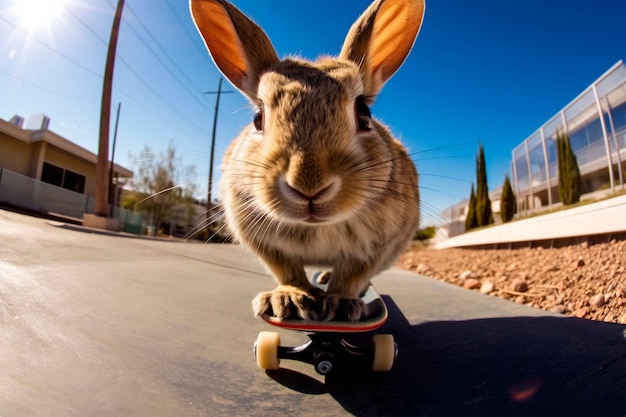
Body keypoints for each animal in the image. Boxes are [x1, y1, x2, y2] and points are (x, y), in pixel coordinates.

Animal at [190, 0, 424, 322]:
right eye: (258, 117)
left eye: (364, 113)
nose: (308, 183)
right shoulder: (264, 241)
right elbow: (286, 269)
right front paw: (289, 298)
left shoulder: (380, 245)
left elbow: (353, 273)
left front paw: (340, 302)